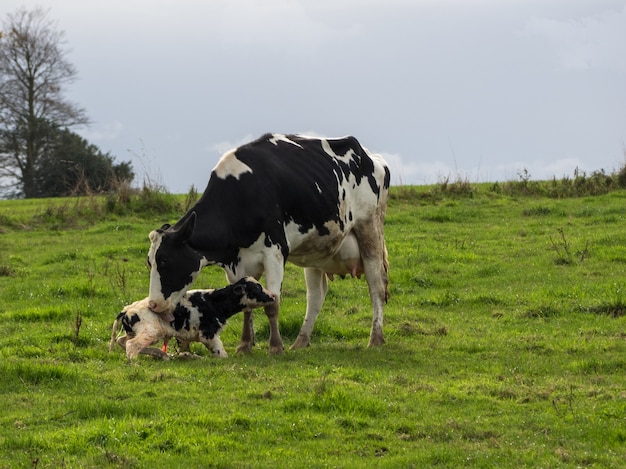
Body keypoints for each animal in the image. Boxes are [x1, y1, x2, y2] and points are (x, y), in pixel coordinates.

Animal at [108, 276, 274, 360]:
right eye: (257, 288)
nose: (272, 296)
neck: (213, 301)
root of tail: (127, 309)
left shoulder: (184, 336)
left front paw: (188, 355)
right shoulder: (209, 334)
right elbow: (222, 354)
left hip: (137, 332)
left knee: (122, 341)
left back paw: (161, 354)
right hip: (151, 332)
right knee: (132, 345)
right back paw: (136, 363)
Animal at [147, 133, 390, 352]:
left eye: (165, 259)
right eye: (149, 262)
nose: (153, 304)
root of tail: (372, 157)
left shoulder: (274, 252)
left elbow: (272, 304)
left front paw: (275, 347)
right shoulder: (237, 263)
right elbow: (246, 302)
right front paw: (245, 345)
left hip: (370, 230)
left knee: (376, 286)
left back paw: (375, 339)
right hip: (316, 250)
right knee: (315, 297)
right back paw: (301, 342)